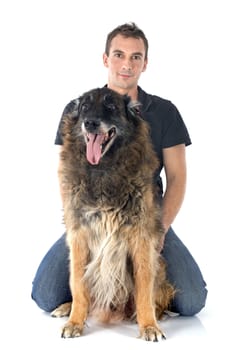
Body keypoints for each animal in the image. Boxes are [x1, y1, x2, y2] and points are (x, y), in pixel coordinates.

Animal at [52, 86, 175, 340]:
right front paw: (75, 322)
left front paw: (149, 326)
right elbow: (78, 285)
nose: (89, 123)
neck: (103, 170)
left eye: (110, 107)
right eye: (84, 107)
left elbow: (144, 289)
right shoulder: (79, 237)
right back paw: (66, 308)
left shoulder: (142, 240)